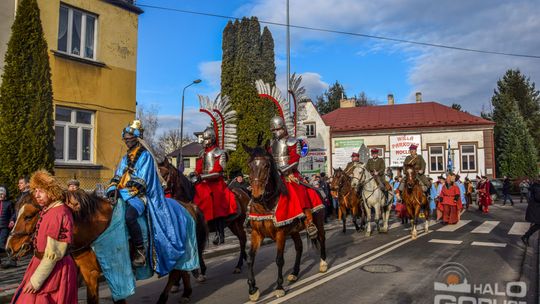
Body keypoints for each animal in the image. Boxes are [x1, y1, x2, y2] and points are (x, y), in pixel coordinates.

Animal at [5, 189, 194, 302]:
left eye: (29, 216)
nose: (9, 247)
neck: (96, 227)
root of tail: (185, 205)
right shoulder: (89, 274)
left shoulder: (118, 272)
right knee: (182, 272)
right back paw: (186, 293)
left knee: (176, 273)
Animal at [243, 143, 326, 302]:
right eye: (249, 165)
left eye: (267, 165)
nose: (256, 196)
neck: (266, 204)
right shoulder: (257, 234)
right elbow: (250, 259)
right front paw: (252, 290)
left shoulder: (280, 234)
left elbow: (279, 259)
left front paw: (279, 287)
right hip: (294, 230)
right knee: (299, 247)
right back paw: (294, 273)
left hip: (318, 221)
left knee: (321, 239)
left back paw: (323, 264)